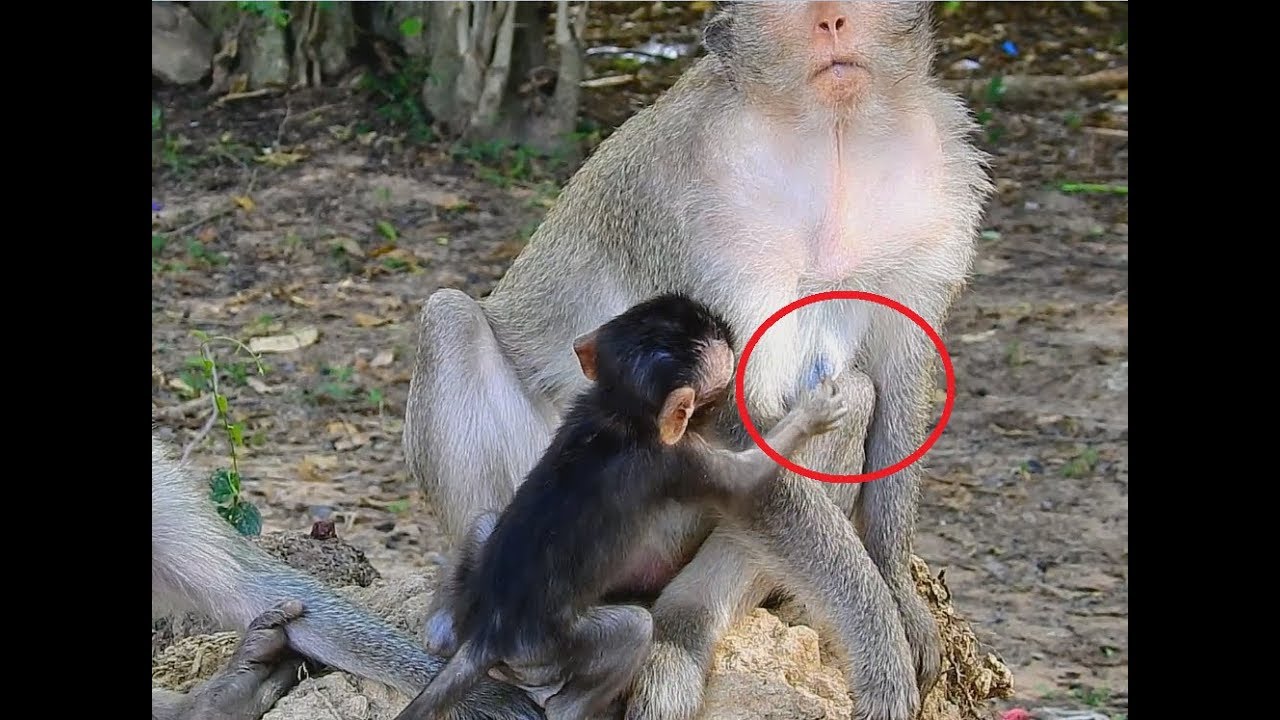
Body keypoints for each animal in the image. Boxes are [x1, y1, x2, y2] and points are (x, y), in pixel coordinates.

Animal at [397, 293, 853, 720]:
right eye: (718, 390)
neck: (619, 411)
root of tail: (486, 637)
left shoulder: (585, 405)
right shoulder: (676, 459)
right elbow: (745, 480)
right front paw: (811, 414)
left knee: (484, 525)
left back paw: (439, 629)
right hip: (550, 647)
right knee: (633, 630)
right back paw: (571, 705)